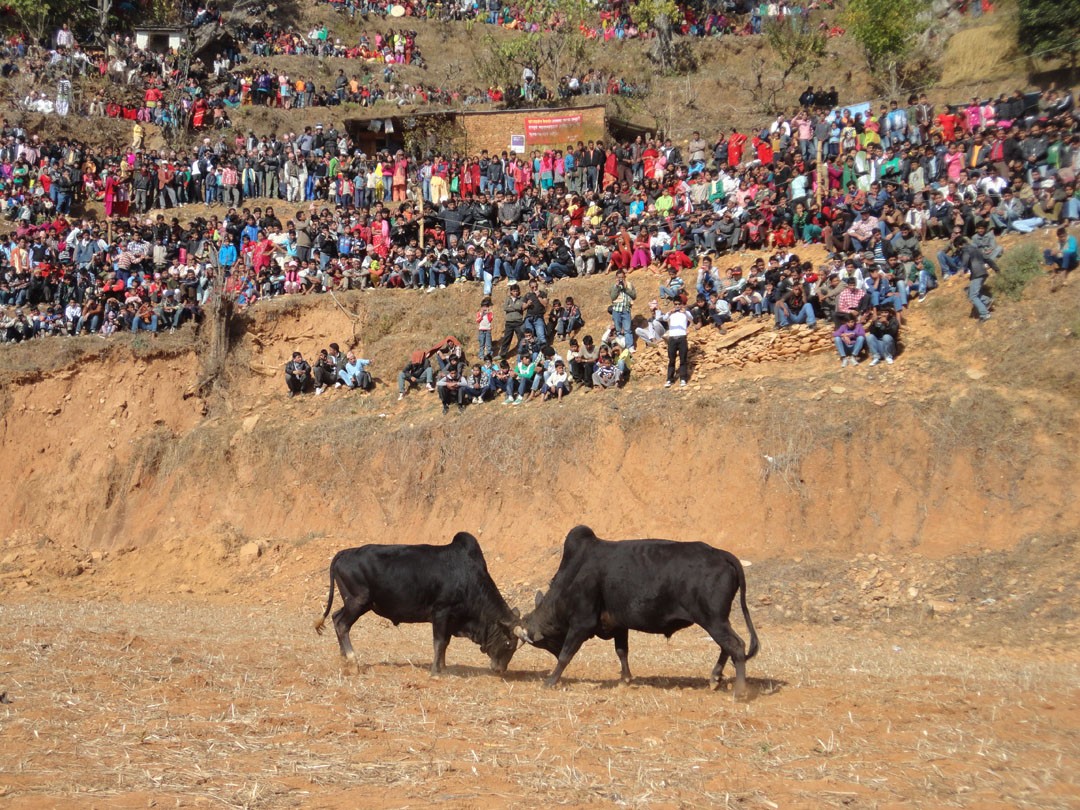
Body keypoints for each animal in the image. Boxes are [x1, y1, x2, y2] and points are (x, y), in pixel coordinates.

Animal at [516, 527, 760, 699]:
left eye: (545, 643)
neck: (573, 574)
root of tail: (722, 555)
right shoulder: (619, 625)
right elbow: (622, 651)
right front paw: (625, 679)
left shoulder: (581, 624)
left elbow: (567, 654)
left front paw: (551, 680)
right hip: (718, 621)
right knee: (727, 647)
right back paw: (715, 678)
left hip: (713, 620)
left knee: (736, 645)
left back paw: (739, 691)